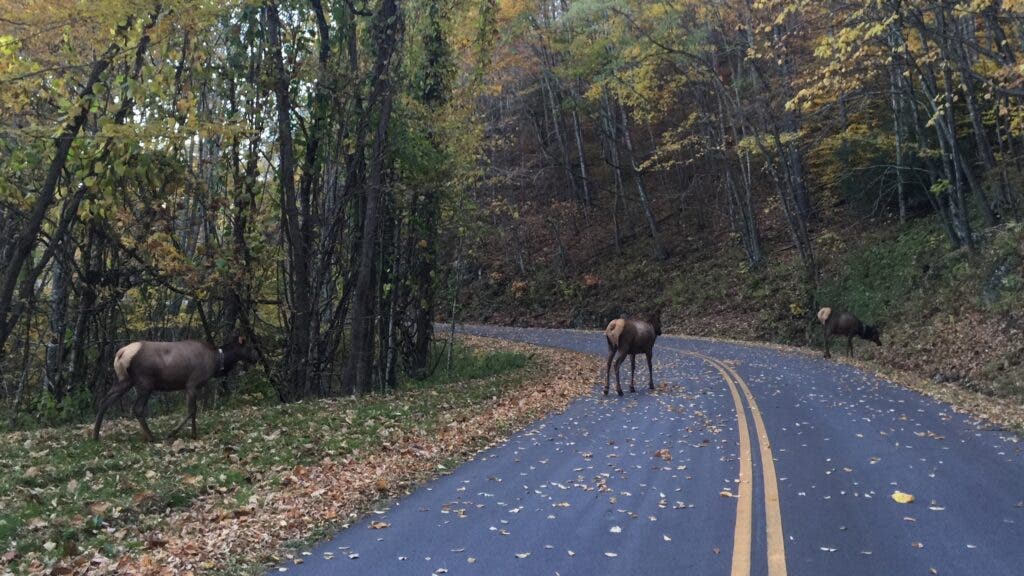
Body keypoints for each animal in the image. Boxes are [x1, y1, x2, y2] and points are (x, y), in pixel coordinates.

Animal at [92, 334, 256, 442]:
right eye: (248, 347)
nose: (257, 357)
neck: (216, 362)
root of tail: (121, 354)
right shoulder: (192, 383)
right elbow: (192, 411)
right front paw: (175, 433)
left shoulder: (190, 387)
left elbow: (193, 411)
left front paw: (193, 434)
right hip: (145, 382)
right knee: (137, 408)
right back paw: (152, 437)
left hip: (125, 380)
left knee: (104, 401)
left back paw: (95, 435)